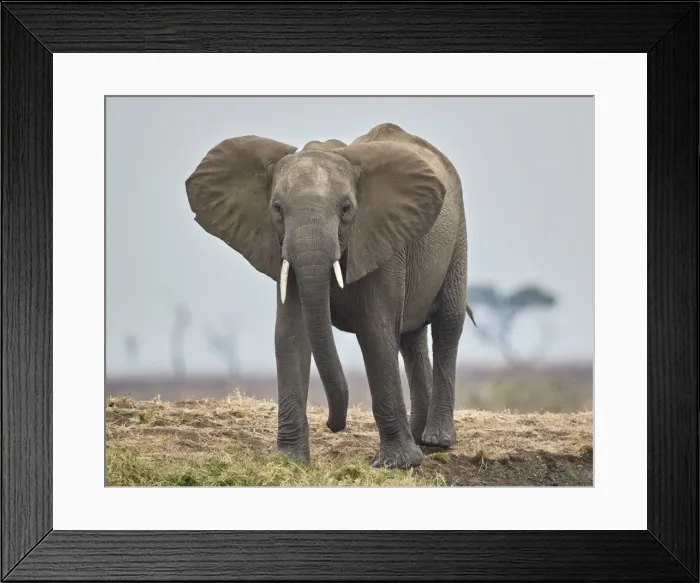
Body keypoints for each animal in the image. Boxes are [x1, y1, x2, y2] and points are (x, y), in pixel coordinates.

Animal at [185, 122, 474, 469]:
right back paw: (420, 438)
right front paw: (290, 462)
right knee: (411, 337)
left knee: (447, 325)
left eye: (346, 209)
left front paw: (397, 464)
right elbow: (291, 334)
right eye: (277, 209)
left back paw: (436, 441)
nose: (334, 425)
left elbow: (376, 332)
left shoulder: (382, 241)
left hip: (458, 236)